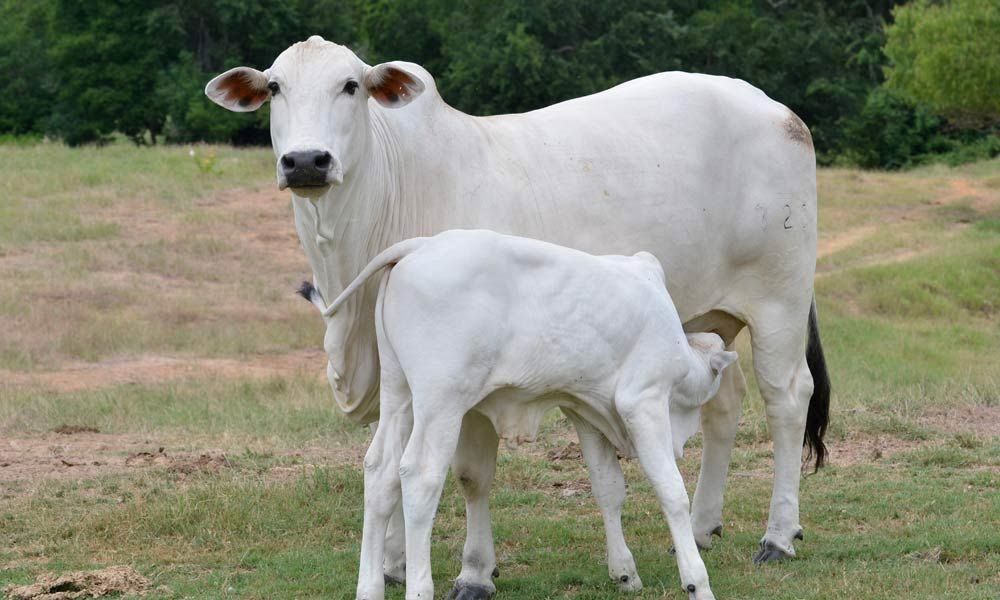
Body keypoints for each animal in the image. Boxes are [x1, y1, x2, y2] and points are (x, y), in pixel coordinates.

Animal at [306, 230, 744, 600]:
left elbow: (608, 488)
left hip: (400, 396)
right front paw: (696, 581)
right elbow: (671, 491)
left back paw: (369, 589)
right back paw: (418, 588)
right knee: (419, 476)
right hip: (440, 402)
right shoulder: (643, 402)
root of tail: (419, 246)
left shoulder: (585, 409)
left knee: (379, 471)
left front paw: (624, 572)